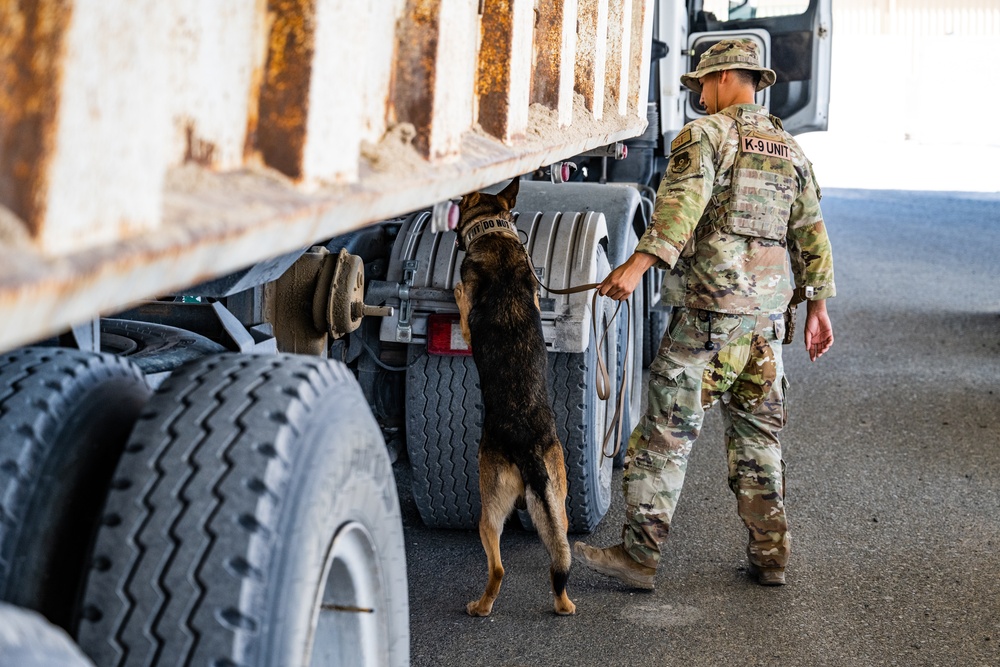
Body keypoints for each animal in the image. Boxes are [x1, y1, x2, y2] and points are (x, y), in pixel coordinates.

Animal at [456, 176, 580, 616]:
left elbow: (461, 300)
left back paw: (480, 606)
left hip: (489, 509)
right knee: (561, 556)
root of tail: (525, 446)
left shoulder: (467, 317)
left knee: (498, 568)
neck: (493, 231)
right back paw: (564, 604)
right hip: (557, 500)